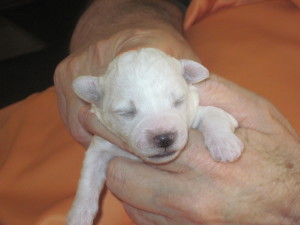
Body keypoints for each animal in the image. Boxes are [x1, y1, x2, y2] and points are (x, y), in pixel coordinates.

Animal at [66, 47, 244, 225]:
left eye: (178, 101)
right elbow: (89, 177)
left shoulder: (199, 112)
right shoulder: (101, 145)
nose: (164, 138)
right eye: (126, 112)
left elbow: (214, 114)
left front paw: (225, 146)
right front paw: (79, 215)